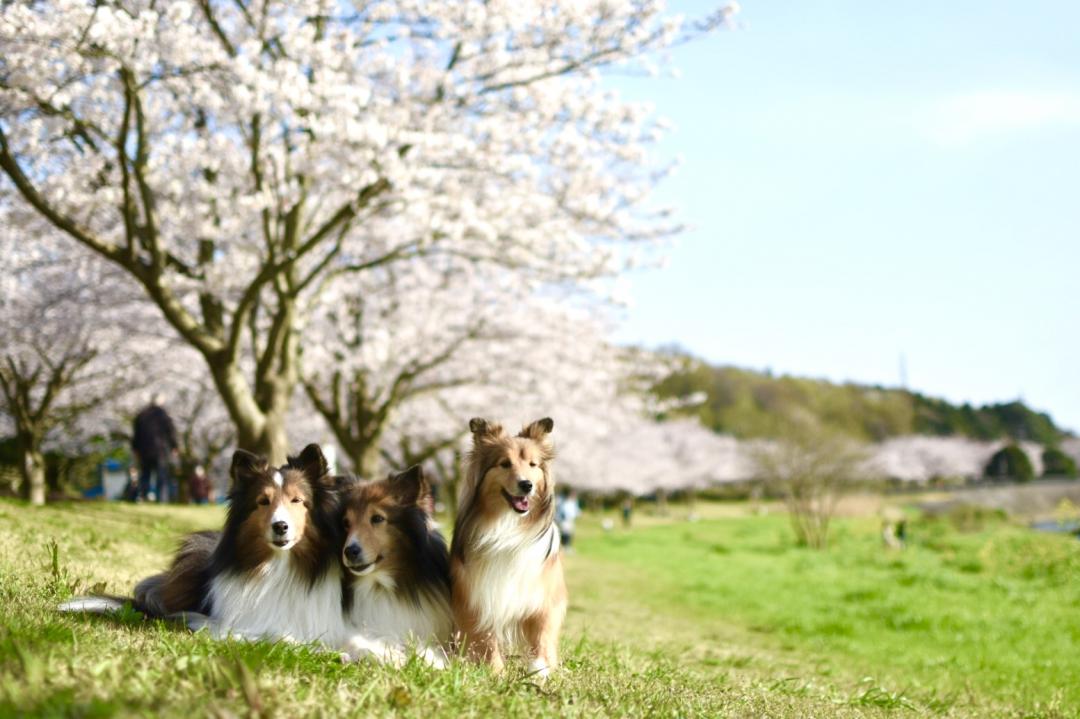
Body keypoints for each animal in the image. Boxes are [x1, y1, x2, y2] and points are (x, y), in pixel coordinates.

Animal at [339, 462, 453, 665]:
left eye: (377, 518)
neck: (381, 585)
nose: (350, 551)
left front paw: (431, 659)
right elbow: (359, 640)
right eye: (346, 523)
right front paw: (387, 655)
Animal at [449, 416, 570, 673]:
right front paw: (496, 672)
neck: (509, 525)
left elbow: (543, 636)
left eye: (533, 464)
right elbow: (487, 638)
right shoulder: (481, 595)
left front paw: (540, 671)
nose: (527, 485)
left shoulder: (544, 596)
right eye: (504, 464)